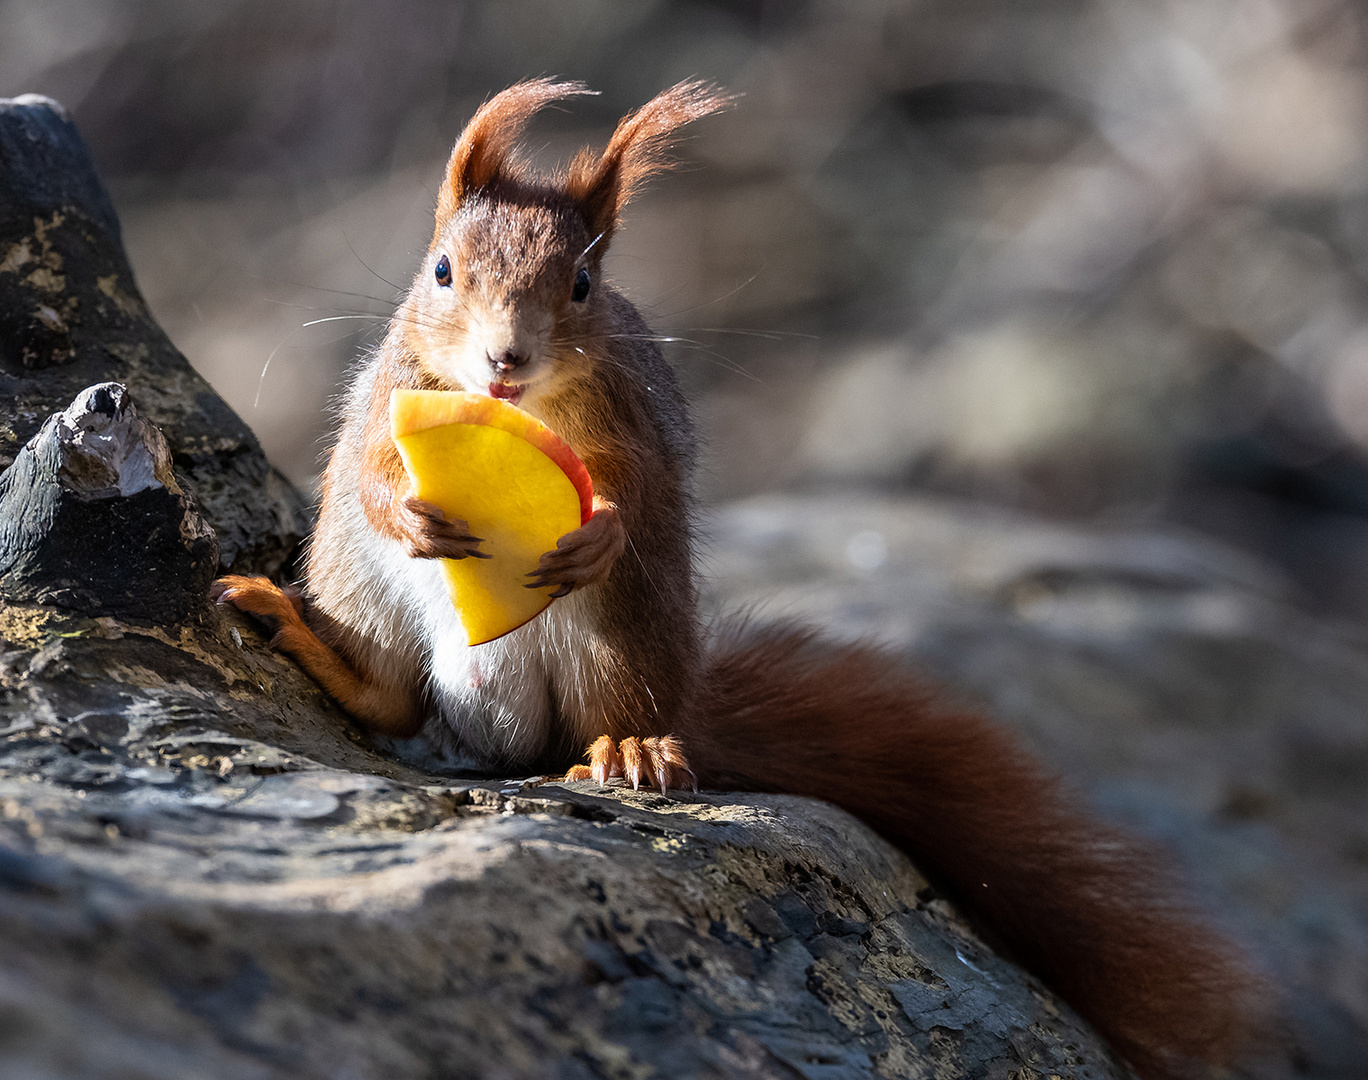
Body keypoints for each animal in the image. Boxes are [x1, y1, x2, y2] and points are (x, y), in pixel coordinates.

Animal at [213, 82, 1269, 1078]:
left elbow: (637, 488)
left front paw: (599, 533)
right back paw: (299, 635)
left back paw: (632, 751)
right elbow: (368, 467)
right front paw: (411, 512)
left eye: (585, 283)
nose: (505, 359)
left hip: (625, 636)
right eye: (440, 270)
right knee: (388, 697)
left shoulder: (630, 421)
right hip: (358, 587)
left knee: (596, 717)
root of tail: (488, 728)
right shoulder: (388, 394)